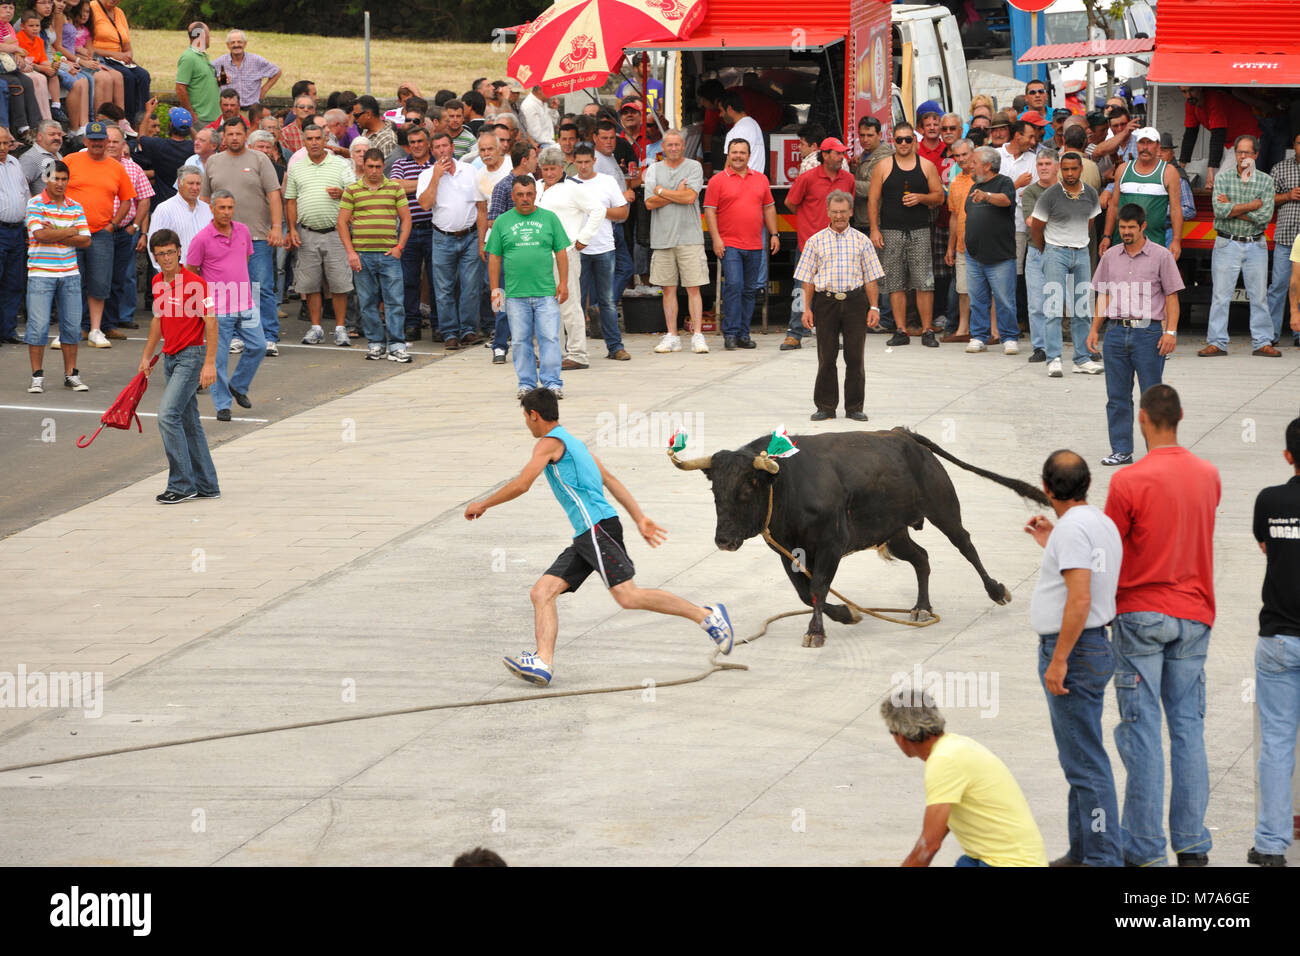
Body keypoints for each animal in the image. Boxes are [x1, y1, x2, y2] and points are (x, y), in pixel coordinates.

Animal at [670, 429, 1045, 647]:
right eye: (715, 490)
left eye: (748, 489)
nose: (723, 540)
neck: (788, 483)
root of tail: (903, 435)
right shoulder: (787, 551)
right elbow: (805, 592)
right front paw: (846, 614)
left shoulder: (831, 545)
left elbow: (818, 586)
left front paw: (816, 632)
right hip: (894, 532)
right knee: (921, 558)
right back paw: (922, 608)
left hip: (943, 508)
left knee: (965, 545)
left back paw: (996, 590)